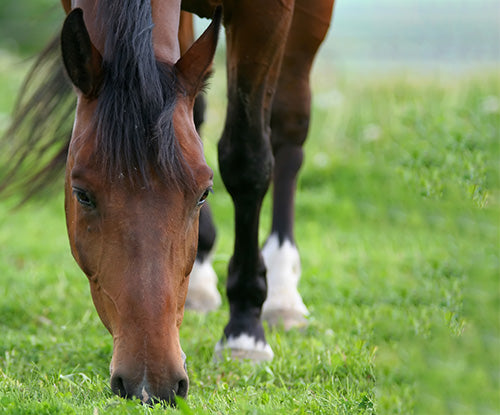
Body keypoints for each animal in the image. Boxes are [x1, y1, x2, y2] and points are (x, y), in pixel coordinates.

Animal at [1, 0, 336, 408]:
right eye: (82, 194)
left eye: (204, 192)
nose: (151, 383)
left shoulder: (267, 14)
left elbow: (247, 157)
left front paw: (244, 330)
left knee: (287, 125)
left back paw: (282, 290)